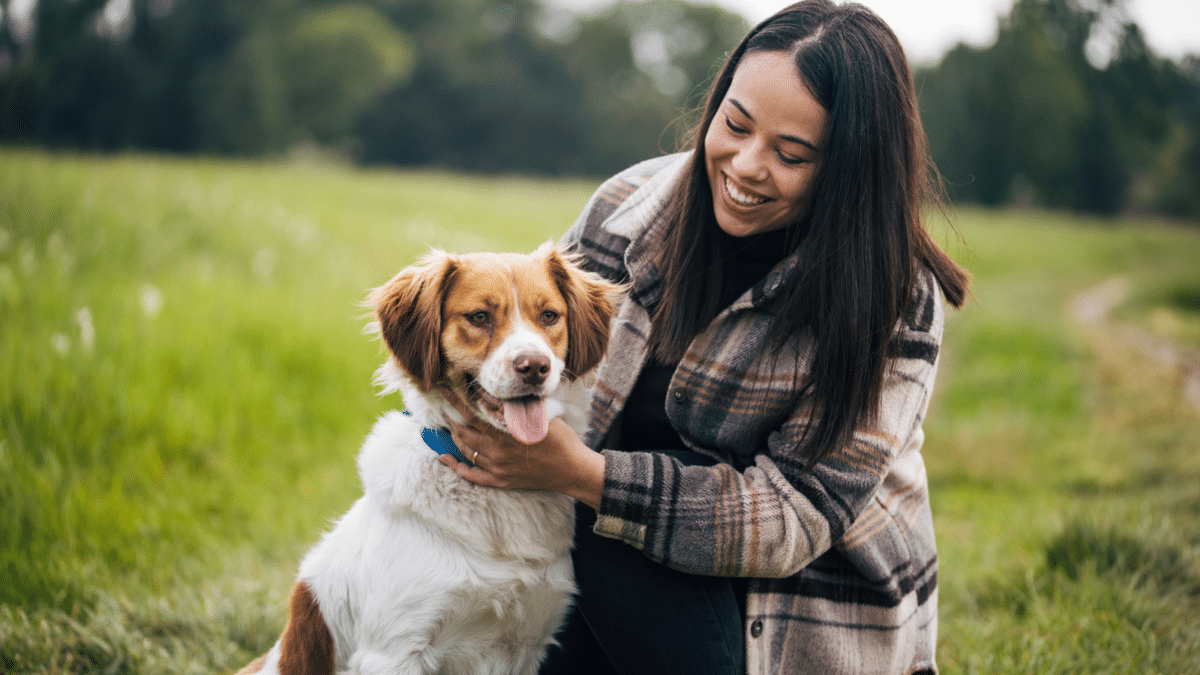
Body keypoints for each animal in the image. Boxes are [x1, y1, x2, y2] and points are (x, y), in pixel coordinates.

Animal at [240, 242, 624, 672]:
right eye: (479, 317)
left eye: (549, 316)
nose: (535, 367)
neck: (497, 501)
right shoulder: (395, 650)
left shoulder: (527, 644)